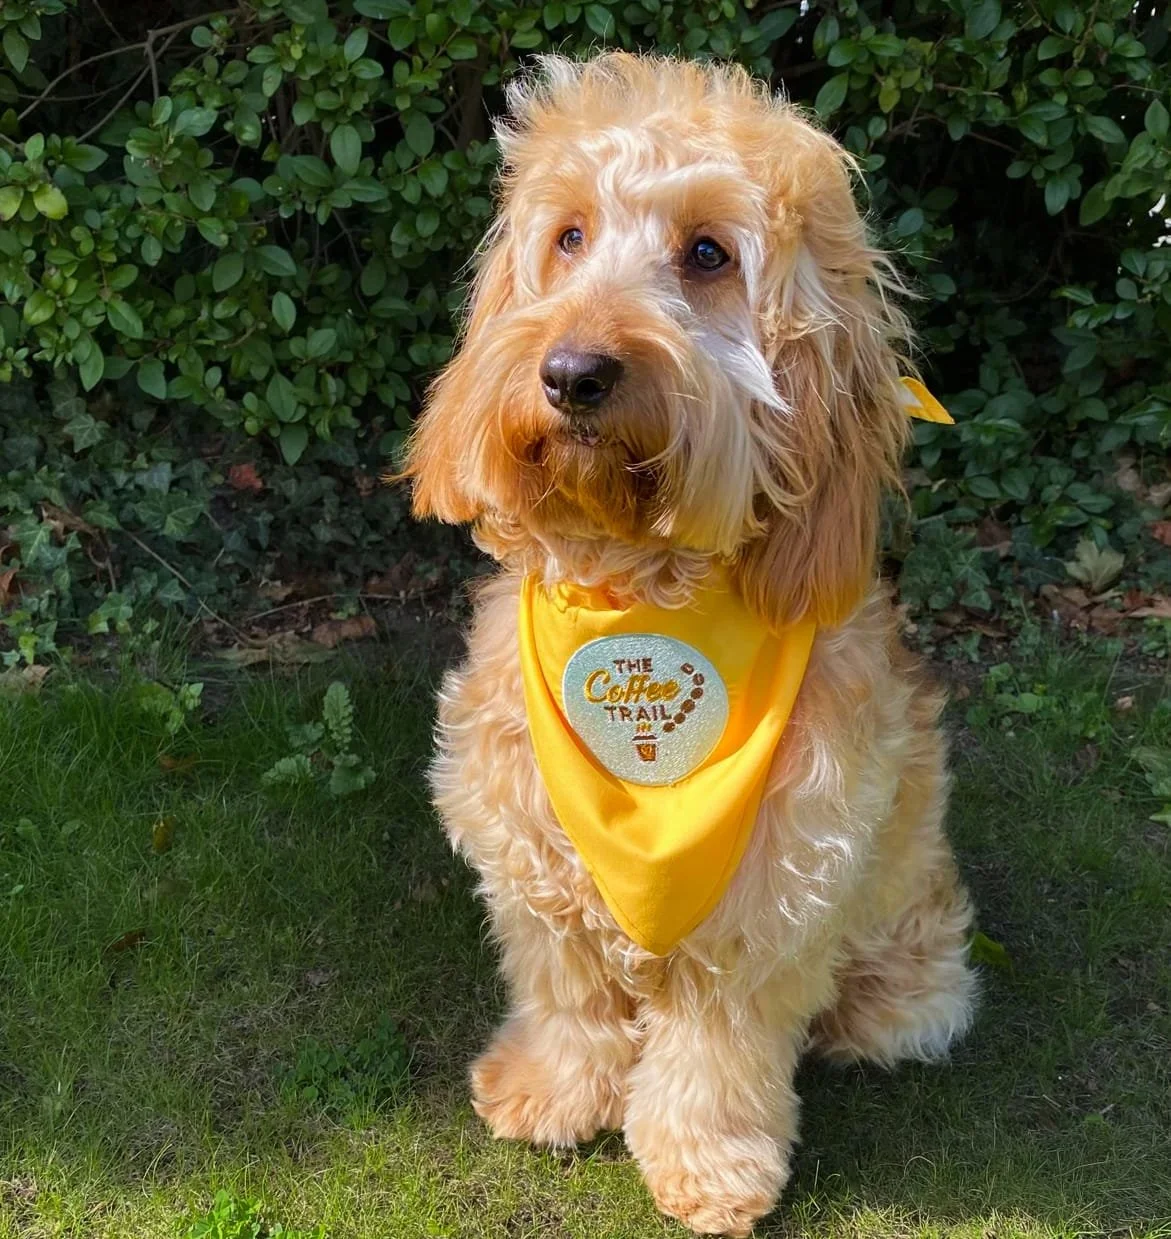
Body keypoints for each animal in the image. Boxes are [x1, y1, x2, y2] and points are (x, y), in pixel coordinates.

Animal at [404, 52, 977, 1237]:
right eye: (568, 236)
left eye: (708, 254)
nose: (573, 372)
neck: (640, 594)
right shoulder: (529, 841)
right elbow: (567, 990)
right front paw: (550, 1092)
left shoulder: (776, 889)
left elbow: (719, 1046)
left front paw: (709, 1166)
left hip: (911, 931)